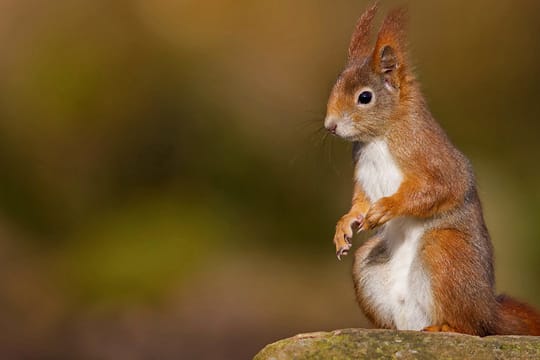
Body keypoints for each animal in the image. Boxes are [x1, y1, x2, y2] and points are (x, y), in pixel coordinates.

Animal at [324, 2, 540, 336]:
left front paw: (386, 208)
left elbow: (441, 188)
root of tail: (488, 311)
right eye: (336, 83)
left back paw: (447, 328)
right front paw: (345, 225)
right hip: (367, 266)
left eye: (365, 97)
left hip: (444, 252)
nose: (330, 126)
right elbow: (359, 202)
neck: (379, 137)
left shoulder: (430, 155)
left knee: (471, 326)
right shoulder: (362, 175)